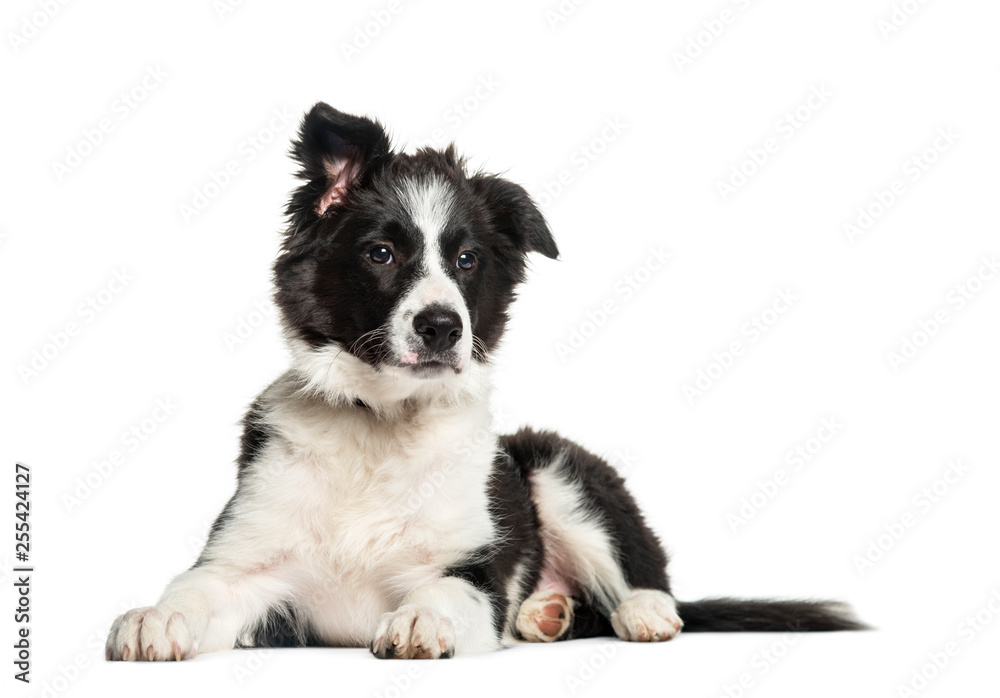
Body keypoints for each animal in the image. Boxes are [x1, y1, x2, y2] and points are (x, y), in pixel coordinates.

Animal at [105, 103, 864, 656]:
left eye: (467, 260)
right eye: (381, 253)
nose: (442, 327)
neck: (383, 423)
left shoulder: (475, 572)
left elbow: (444, 593)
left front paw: (419, 621)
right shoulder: (248, 568)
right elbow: (196, 588)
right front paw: (153, 617)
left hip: (557, 465)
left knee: (644, 574)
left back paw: (642, 613)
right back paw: (548, 614)